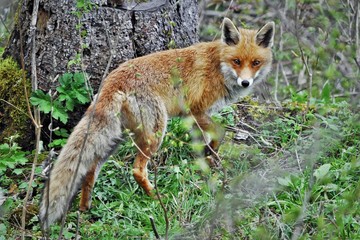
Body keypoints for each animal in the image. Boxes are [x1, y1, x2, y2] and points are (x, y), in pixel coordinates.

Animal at [39, 17, 274, 229]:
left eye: (255, 63)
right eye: (237, 61)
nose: (246, 82)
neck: (218, 66)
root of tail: (113, 79)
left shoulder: (190, 118)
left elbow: (203, 141)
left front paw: (207, 158)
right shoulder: (196, 110)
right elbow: (220, 131)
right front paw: (212, 154)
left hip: (116, 139)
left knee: (91, 168)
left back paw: (85, 208)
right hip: (156, 132)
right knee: (137, 170)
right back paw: (156, 199)